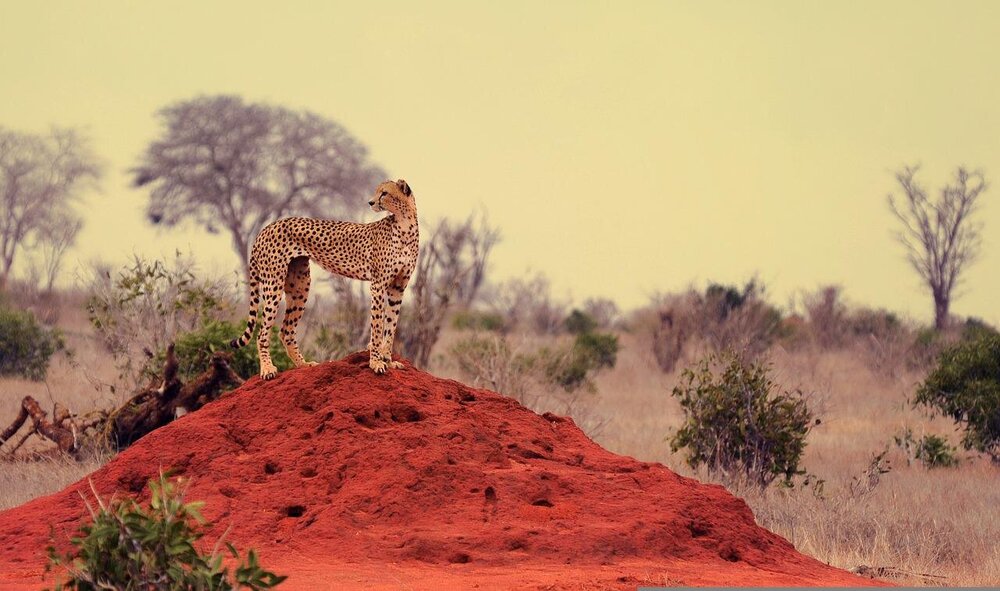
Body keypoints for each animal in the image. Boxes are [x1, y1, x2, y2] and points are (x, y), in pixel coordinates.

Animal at [230, 179, 419, 379]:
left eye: (384, 193)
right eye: (377, 192)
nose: (370, 202)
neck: (405, 224)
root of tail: (266, 227)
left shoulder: (397, 288)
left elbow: (390, 327)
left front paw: (388, 362)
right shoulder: (378, 285)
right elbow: (377, 327)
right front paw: (376, 362)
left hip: (300, 286)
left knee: (286, 331)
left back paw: (304, 365)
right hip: (273, 283)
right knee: (262, 333)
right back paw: (267, 368)